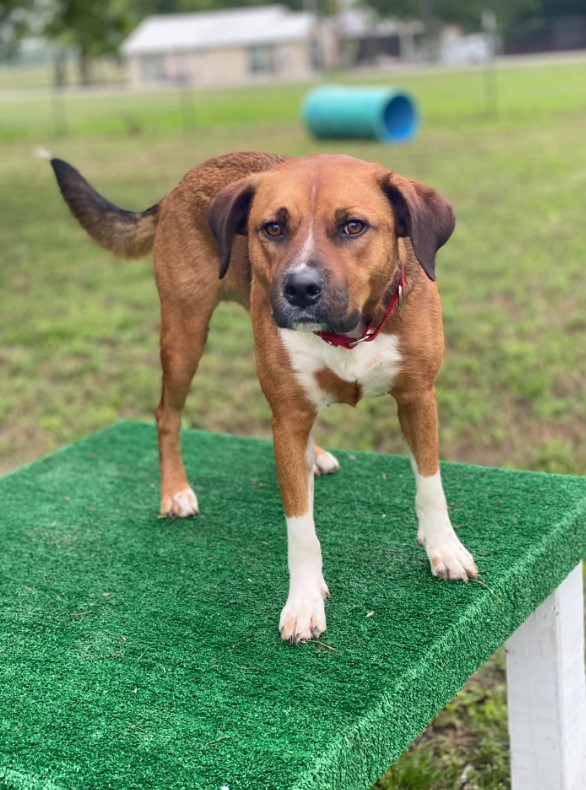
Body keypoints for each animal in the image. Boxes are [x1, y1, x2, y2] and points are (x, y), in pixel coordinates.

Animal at [50, 153, 476, 644]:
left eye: (353, 226)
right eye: (272, 228)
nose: (300, 288)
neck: (347, 332)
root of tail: (183, 183)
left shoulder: (417, 396)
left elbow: (430, 485)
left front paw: (444, 546)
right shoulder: (288, 416)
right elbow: (301, 528)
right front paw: (305, 601)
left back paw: (316, 456)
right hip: (185, 332)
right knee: (166, 413)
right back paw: (175, 491)